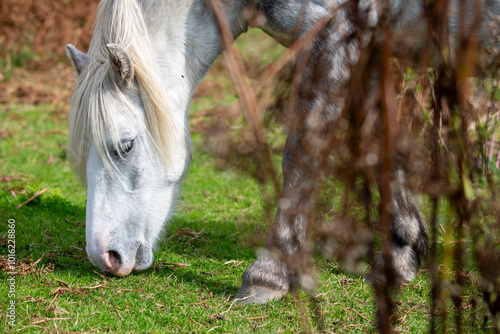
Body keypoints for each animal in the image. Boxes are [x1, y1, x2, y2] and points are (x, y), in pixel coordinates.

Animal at [66, 0, 500, 306]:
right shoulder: (370, 44)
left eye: (125, 144)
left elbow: (302, 154)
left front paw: (268, 275)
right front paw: (403, 254)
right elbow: (382, 143)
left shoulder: (333, 32)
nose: (104, 256)